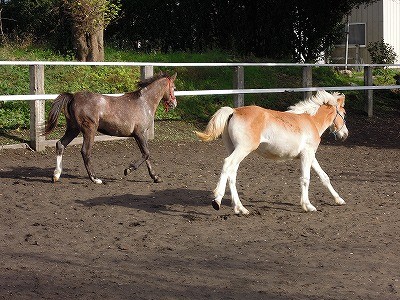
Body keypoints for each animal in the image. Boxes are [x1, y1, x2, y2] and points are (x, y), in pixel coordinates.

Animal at [44, 73, 177, 185]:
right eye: (174, 88)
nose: (174, 104)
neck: (144, 103)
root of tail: (73, 97)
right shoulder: (140, 133)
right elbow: (146, 154)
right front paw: (128, 170)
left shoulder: (139, 135)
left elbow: (146, 155)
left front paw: (156, 177)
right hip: (89, 130)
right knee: (85, 151)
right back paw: (95, 179)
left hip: (73, 129)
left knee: (60, 144)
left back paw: (56, 175)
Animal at [195, 90, 348, 214]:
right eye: (344, 113)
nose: (345, 134)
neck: (311, 121)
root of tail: (234, 111)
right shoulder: (307, 154)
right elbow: (305, 179)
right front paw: (308, 205)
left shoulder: (310, 155)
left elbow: (324, 177)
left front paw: (339, 200)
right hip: (243, 149)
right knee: (227, 164)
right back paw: (217, 200)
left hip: (233, 149)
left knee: (232, 174)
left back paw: (240, 208)